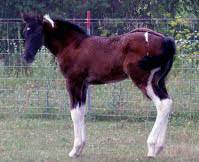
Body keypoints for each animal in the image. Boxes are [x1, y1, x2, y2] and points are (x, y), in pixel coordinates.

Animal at [21, 13, 175, 158]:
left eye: (37, 31)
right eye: (25, 32)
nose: (27, 57)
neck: (72, 45)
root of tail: (164, 40)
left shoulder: (73, 82)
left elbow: (74, 113)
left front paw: (74, 150)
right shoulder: (83, 84)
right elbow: (81, 111)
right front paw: (80, 148)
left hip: (144, 81)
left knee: (162, 104)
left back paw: (151, 148)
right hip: (159, 81)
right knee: (168, 103)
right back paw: (159, 148)